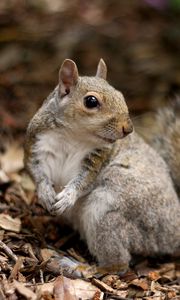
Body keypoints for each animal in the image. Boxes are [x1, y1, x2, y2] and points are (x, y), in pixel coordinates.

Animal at [25, 59, 180, 268]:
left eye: (121, 95)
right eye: (91, 101)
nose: (128, 129)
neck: (72, 135)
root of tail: (175, 233)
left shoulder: (98, 159)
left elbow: (84, 181)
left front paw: (67, 197)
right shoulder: (37, 146)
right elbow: (36, 172)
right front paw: (45, 193)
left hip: (108, 214)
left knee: (118, 264)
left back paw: (75, 267)